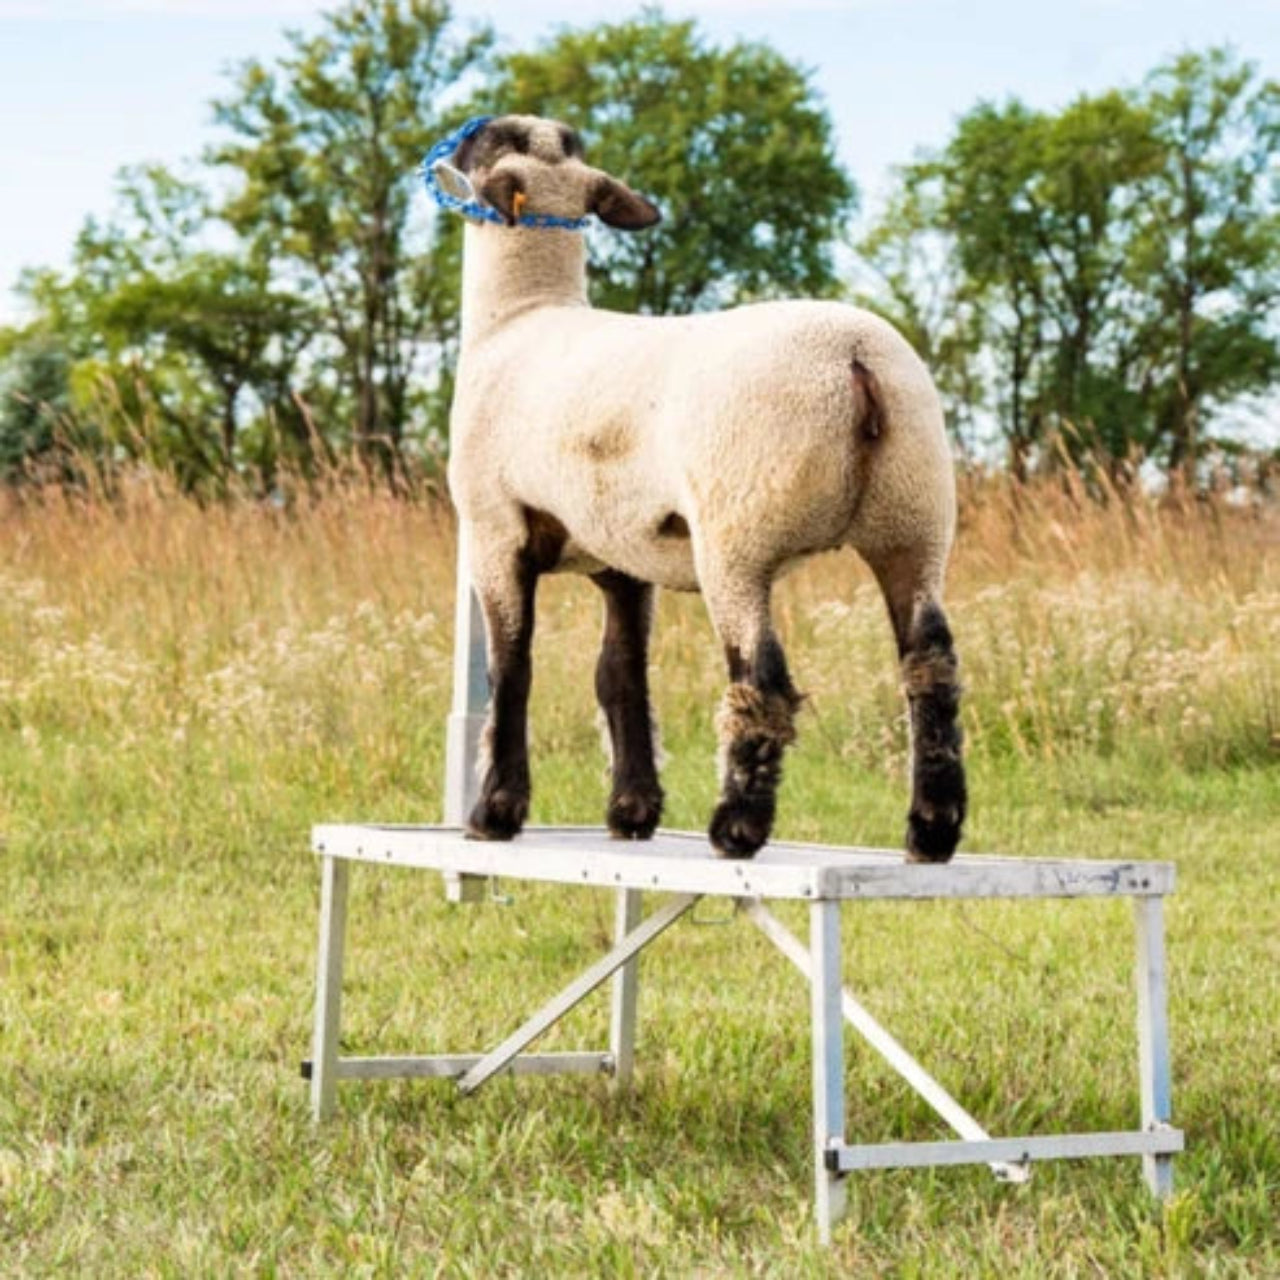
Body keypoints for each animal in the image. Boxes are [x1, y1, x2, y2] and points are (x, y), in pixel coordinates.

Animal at [438, 113, 965, 861]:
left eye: (494, 139)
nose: (467, 129)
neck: (521, 317)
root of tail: (856, 360)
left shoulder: (495, 530)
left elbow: (513, 670)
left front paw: (495, 812)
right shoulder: (623, 556)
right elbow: (620, 676)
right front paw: (632, 810)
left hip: (738, 534)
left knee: (760, 678)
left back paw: (737, 826)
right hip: (914, 520)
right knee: (931, 667)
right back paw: (932, 828)